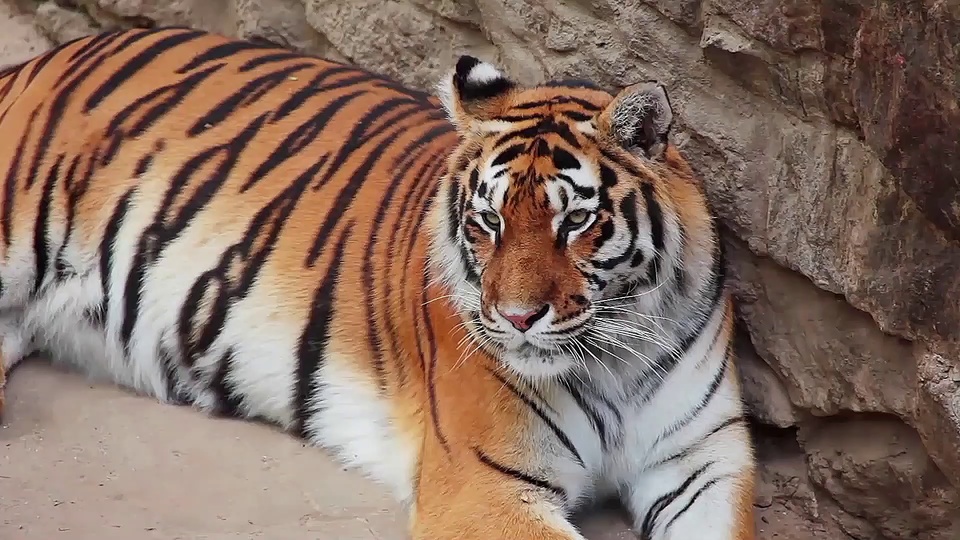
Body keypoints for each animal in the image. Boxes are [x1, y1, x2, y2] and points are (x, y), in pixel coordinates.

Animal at [0, 26, 756, 540]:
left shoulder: (706, 461)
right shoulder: (486, 484)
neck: (615, 360)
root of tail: (39, 60)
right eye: (488, 221)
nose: (516, 319)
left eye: (575, 221)